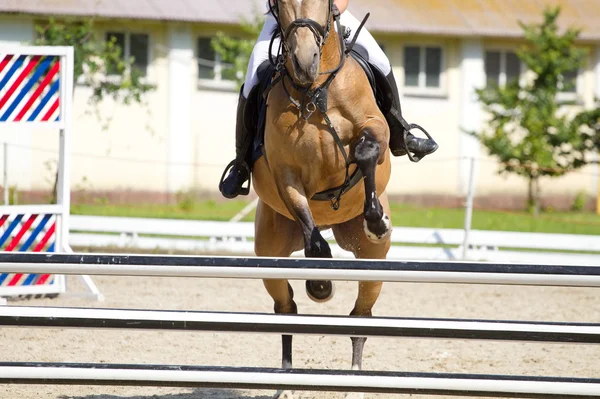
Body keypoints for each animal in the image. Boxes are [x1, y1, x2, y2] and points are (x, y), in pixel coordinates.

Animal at [253, 0, 394, 398]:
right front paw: (320, 283)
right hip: (269, 252)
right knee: (285, 308)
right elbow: (313, 239)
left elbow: (365, 151)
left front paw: (376, 220)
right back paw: (286, 383)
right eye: (280, 5)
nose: (305, 62)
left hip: (373, 263)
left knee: (361, 318)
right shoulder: (285, 176)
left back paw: (354, 381)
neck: (316, 91)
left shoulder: (375, 128)